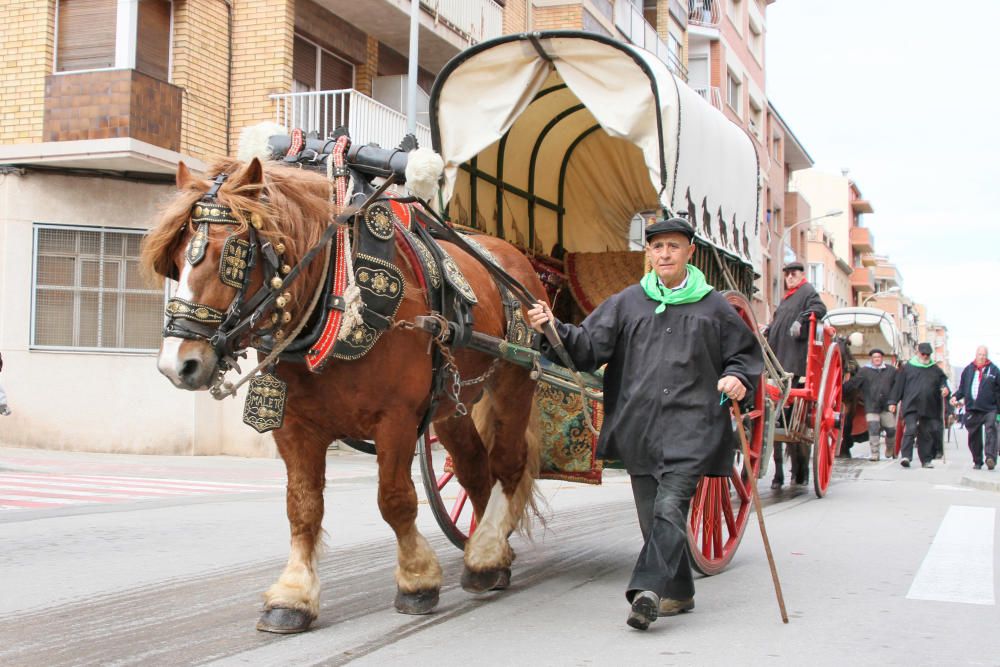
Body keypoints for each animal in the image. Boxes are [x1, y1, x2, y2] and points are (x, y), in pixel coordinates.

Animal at [140, 157, 544, 632]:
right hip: (453, 402)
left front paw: (417, 580)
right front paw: (293, 595)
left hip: (514, 383)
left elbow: (395, 499)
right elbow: (302, 506)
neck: (336, 295)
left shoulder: (397, 419)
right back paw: (491, 553)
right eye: (175, 259)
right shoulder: (295, 426)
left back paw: (486, 550)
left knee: (507, 464)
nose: (177, 364)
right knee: (475, 469)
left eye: (232, 255)